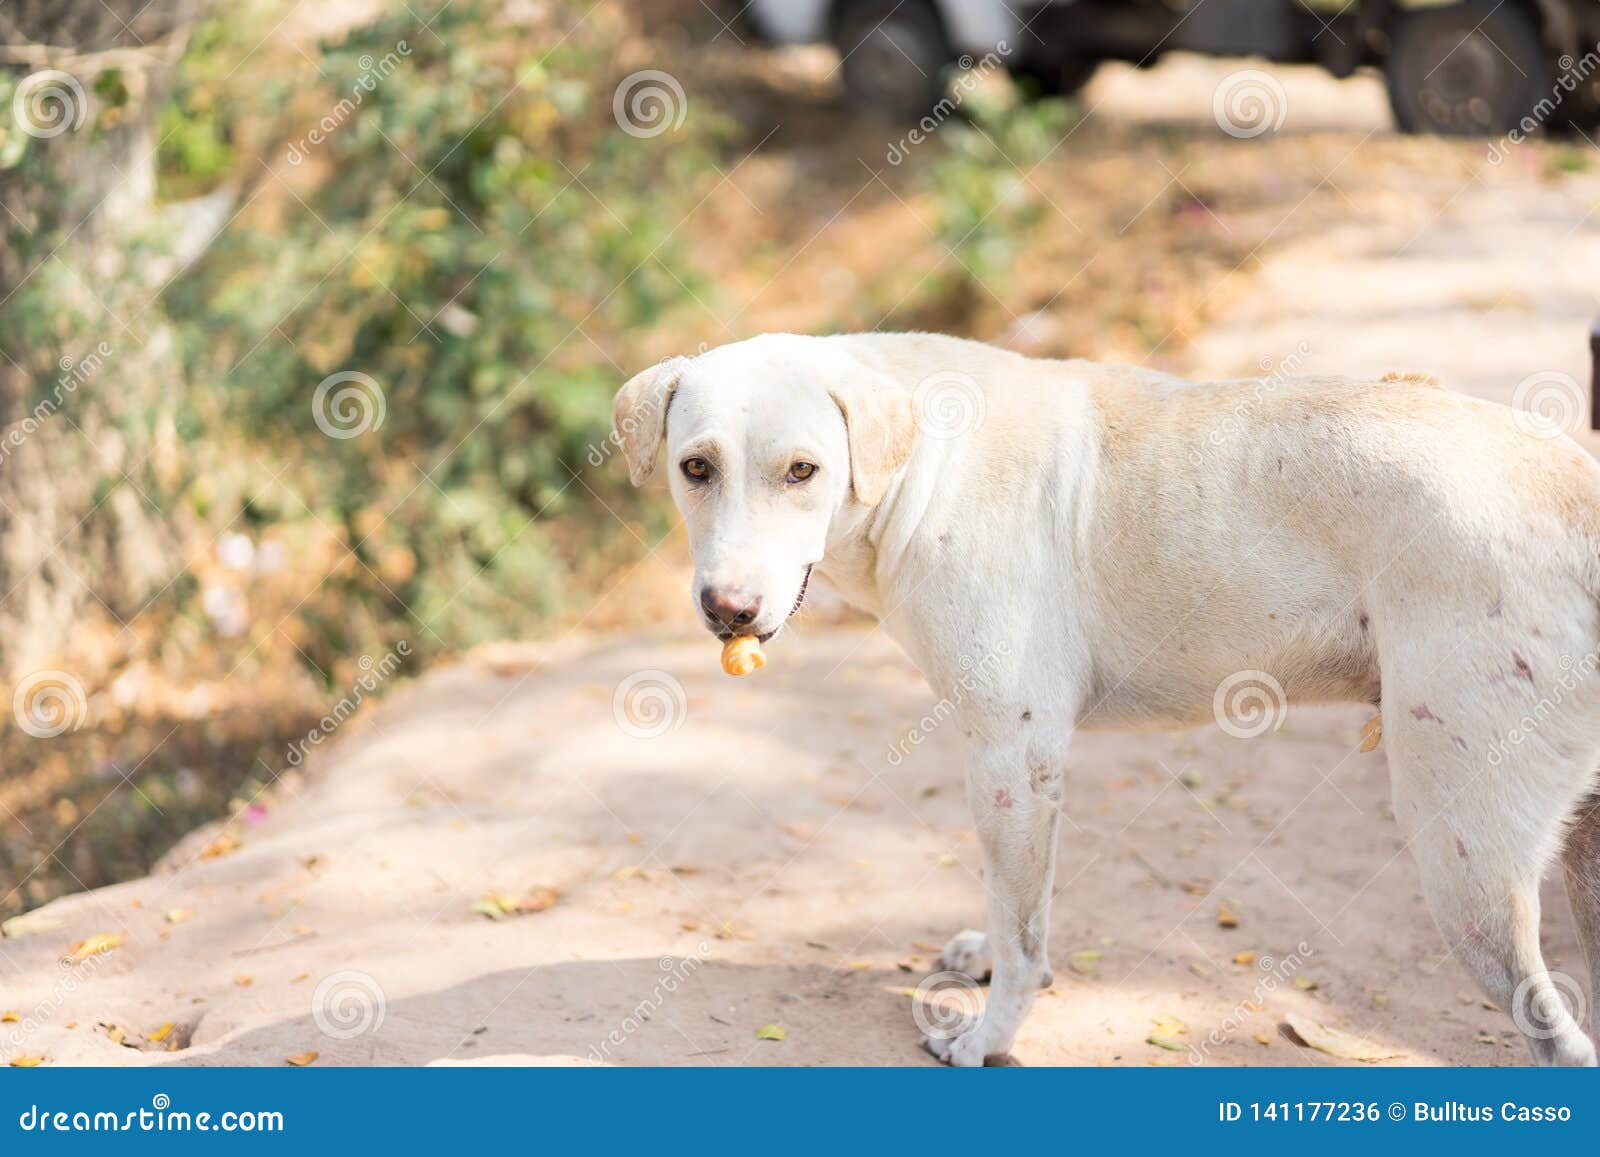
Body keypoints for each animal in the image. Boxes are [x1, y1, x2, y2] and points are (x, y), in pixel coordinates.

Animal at [614, 328, 1600, 1068]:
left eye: (803, 470)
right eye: (695, 468)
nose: (728, 608)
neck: (919, 464)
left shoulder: (1009, 755)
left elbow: (1023, 933)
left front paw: (990, 1034)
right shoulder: (1020, 770)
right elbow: (1016, 902)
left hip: (1463, 851)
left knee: (1557, 1040)